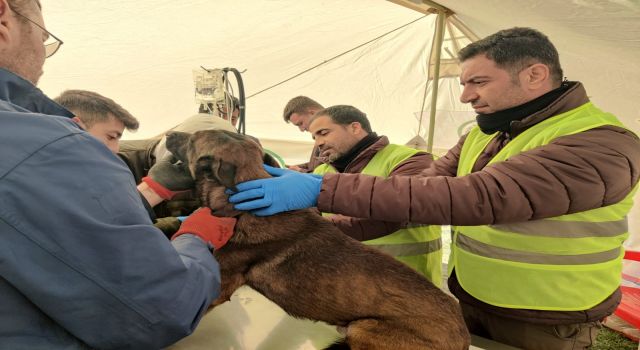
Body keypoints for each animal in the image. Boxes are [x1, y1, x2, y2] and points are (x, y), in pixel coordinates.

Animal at [165, 130, 470, 348]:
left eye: (192, 140)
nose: (168, 134)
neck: (242, 201)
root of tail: (463, 336)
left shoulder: (220, 285)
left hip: (362, 328)